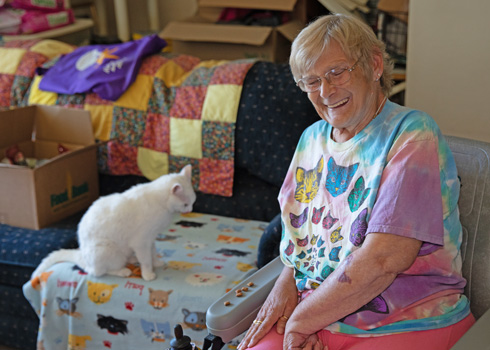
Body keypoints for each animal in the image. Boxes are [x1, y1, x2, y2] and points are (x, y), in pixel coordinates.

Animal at [31, 164, 197, 282]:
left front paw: (156, 263)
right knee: (97, 271)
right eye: (185, 204)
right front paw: (148, 273)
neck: (162, 206)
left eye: (193, 202)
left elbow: (153, 253)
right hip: (108, 250)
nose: (190, 209)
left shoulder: (150, 239)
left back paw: (133, 260)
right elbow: (146, 260)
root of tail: (82, 254)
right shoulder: (141, 241)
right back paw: (123, 270)